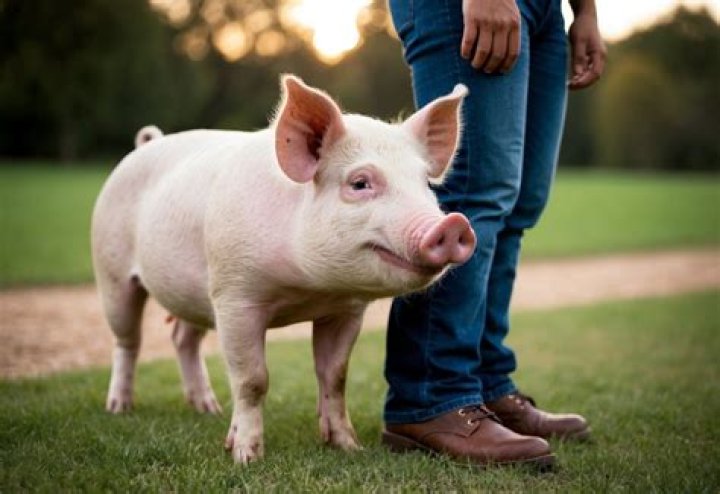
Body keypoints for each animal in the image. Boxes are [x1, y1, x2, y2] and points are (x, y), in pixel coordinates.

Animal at [91, 75, 476, 464]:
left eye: (425, 182)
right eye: (360, 183)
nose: (453, 224)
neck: (309, 289)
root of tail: (147, 144)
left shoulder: (346, 310)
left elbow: (335, 375)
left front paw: (349, 447)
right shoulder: (235, 296)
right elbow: (252, 379)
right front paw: (246, 457)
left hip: (194, 292)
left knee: (182, 338)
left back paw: (208, 410)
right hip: (112, 272)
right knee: (128, 340)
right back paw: (119, 408)